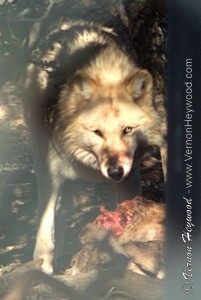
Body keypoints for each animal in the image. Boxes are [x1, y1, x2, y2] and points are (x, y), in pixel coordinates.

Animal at [23, 17, 165, 274]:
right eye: (97, 132)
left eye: (127, 130)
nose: (115, 171)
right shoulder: (51, 172)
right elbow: (45, 231)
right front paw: (43, 270)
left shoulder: (129, 177)